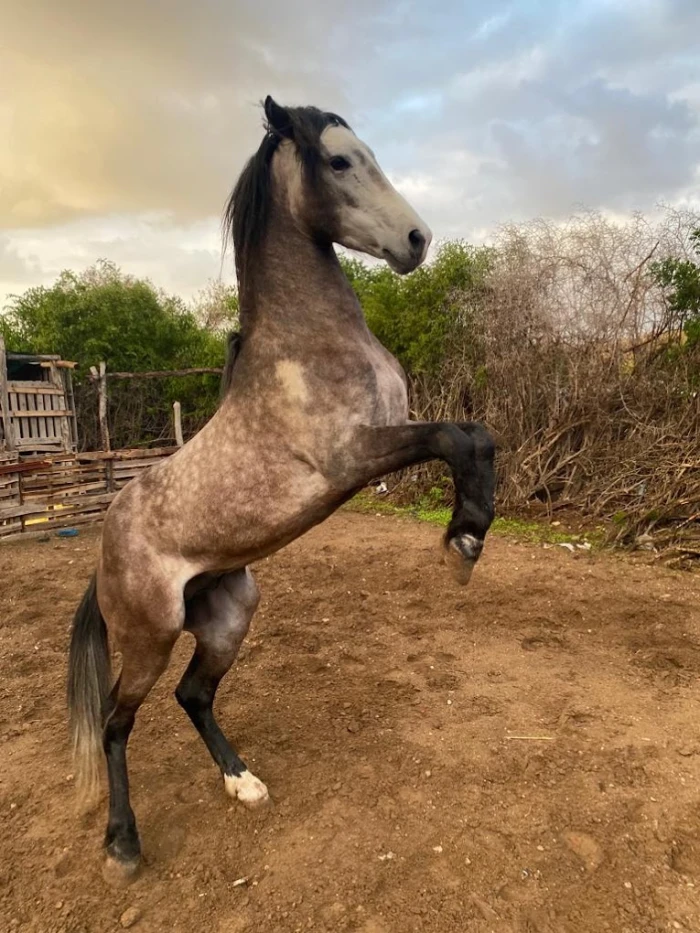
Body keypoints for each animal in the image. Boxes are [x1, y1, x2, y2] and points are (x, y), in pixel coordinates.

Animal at [64, 96, 492, 888]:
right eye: (340, 160)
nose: (417, 240)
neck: (307, 345)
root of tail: (105, 549)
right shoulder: (351, 455)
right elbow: (460, 437)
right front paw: (464, 541)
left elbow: (474, 436)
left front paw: (469, 537)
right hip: (147, 636)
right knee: (116, 722)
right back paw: (123, 846)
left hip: (230, 613)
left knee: (193, 695)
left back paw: (245, 783)